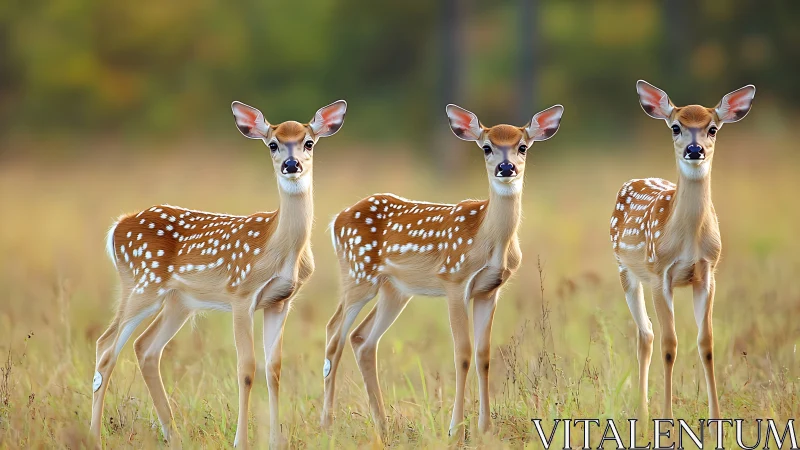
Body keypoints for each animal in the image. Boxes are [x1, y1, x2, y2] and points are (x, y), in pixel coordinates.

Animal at [90, 99, 347, 448]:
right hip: (143, 284)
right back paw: (94, 436)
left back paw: (174, 434)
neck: (279, 247)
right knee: (106, 347)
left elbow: (274, 369)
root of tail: (118, 226)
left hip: (178, 301)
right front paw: (241, 441)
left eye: (309, 142)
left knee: (145, 348)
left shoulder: (280, 301)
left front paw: (276, 440)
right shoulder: (241, 293)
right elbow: (246, 368)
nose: (291, 164)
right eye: (272, 144)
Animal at [319, 103, 564, 442]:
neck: (489, 238)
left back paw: (383, 426)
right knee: (334, 333)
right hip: (358, 275)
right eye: (486, 147)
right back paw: (327, 425)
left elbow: (483, 355)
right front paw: (455, 430)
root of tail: (336, 220)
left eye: (523, 147)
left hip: (394, 289)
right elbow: (462, 353)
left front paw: (485, 429)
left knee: (362, 339)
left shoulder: (490, 290)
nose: (506, 168)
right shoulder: (454, 280)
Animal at [611, 80, 755, 421]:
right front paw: (666, 415)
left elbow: (707, 343)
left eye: (712, 128)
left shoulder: (707, 273)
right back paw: (643, 411)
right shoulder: (659, 275)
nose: (694, 149)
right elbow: (670, 344)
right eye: (676, 127)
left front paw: (716, 418)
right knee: (646, 335)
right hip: (626, 270)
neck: (688, 240)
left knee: (648, 333)